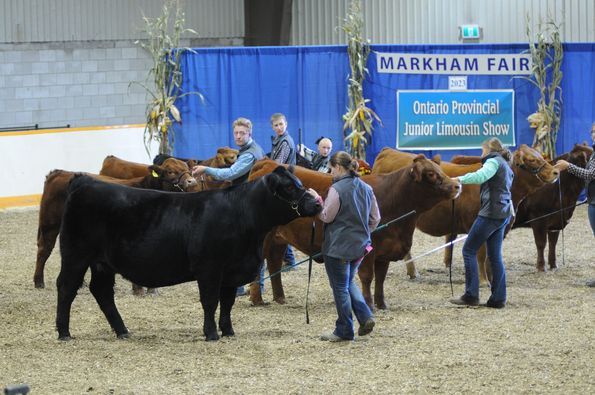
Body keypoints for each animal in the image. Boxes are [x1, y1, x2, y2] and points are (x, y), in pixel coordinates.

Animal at [33, 158, 198, 290]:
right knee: (44, 249)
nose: (191, 181)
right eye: (170, 172)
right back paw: (39, 281)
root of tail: (59, 173)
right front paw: (139, 289)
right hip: (50, 222)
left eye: (188, 169)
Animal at [57, 166, 322, 342]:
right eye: (289, 187)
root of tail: (83, 181)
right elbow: (210, 301)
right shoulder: (209, 268)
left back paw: (122, 331)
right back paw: (64, 332)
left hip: (102, 262)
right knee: (66, 287)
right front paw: (211, 333)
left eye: (299, 182)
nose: (317, 203)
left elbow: (227, 303)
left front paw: (228, 331)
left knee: (102, 291)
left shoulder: (232, 270)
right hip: (75, 255)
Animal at [247, 155, 460, 310]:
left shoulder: (385, 252)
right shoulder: (368, 250)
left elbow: (380, 278)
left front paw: (382, 304)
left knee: (274, 262)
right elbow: (367, 276)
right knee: (260, 266)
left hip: (278, 239)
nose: (457, 185)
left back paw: (280, 297)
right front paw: (369, 304)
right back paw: (257, 299)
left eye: (440, 170)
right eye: (431, 174)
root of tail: (268, 163)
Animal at [374, 144, 560, 286]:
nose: (556, 172)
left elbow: (491, 256)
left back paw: (412, 272)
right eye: (531, 159)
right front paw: (484, 281)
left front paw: (492, 278)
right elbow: (481, 255)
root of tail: (388, 151)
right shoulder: (476, 225)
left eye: (540, 155)